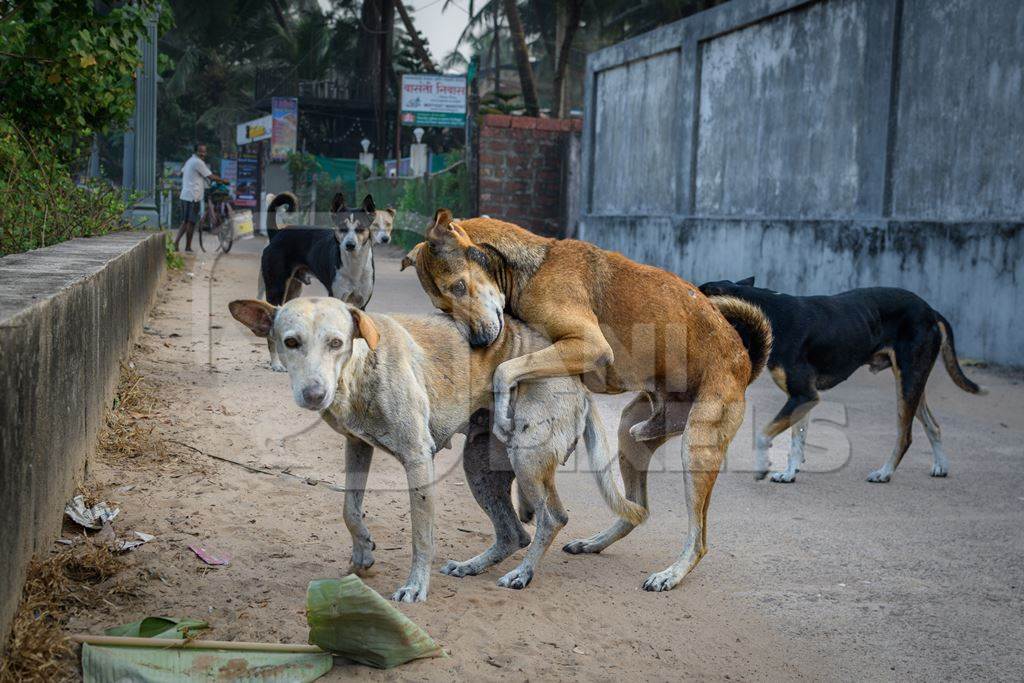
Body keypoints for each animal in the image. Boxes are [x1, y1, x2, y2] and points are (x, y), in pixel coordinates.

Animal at [230, 296, 638, 602]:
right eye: (290, 342)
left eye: (336, 343)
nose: (314, 395)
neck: (363, 362)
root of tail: (578, 380)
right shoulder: (357, 447)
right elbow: (349, 508)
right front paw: (362, 552)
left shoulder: (417, 458)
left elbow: (421, 535)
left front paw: (415, 586)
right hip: (479, 466)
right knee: (514, 533)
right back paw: (473, 565)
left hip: (527, 458)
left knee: (553, 519)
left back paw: (522, 574)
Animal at [258, 192, 393, 370]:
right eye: (342, 228)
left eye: (360, 228)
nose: (350, 245)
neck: (354, 266)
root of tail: (277, 234)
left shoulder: (362, 303)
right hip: (276, 288)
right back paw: (276, 363)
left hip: (293, 289)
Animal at [405, 210, 770, 589]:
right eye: (443, 305)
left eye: (459, 286)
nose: (477, 343)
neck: (532, 267)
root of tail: (745, 360)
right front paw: (525, 502)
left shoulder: (590, 346)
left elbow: (504, 370)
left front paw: (504, 416)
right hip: (630, 433)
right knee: (637, 508)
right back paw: (596, 540)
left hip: (697, 450)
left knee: (698, 539)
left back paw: (671, 573)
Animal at [696, 276, 983, 481]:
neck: (768, 313)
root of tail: (930, 310)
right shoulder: (801, 399)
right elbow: (797, 440)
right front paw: (789, 473)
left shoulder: (804, 395)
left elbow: (764, 434)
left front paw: (763, 466)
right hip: (912, 381)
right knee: (933, 425)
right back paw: (940, 466)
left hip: (908, 381)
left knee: (906, 436)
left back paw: (884, 473)